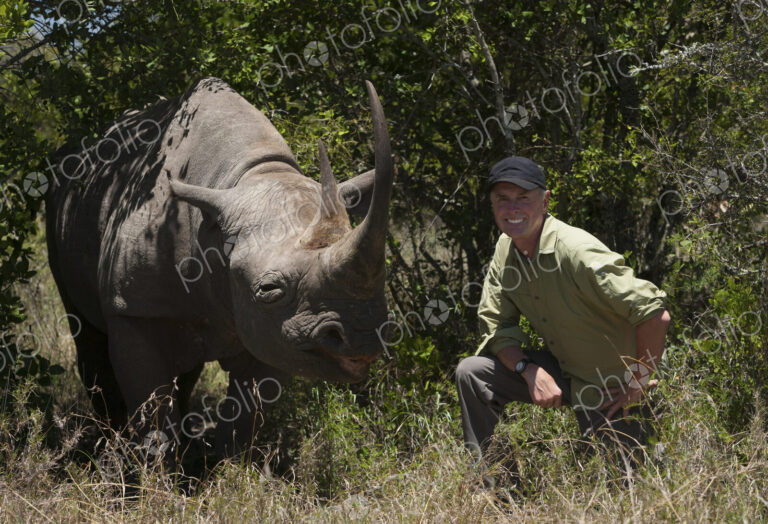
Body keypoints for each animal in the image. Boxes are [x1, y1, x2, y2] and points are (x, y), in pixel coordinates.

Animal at [45, 77, 393, 456]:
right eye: (268, 290)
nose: (362, 337)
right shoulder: (133, 308)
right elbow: (152, 411)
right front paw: (154, 469)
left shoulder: (273, 332)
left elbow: (245, 418)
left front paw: (231, 467)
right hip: (60, 208)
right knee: (87, 336)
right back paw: (109, 443)